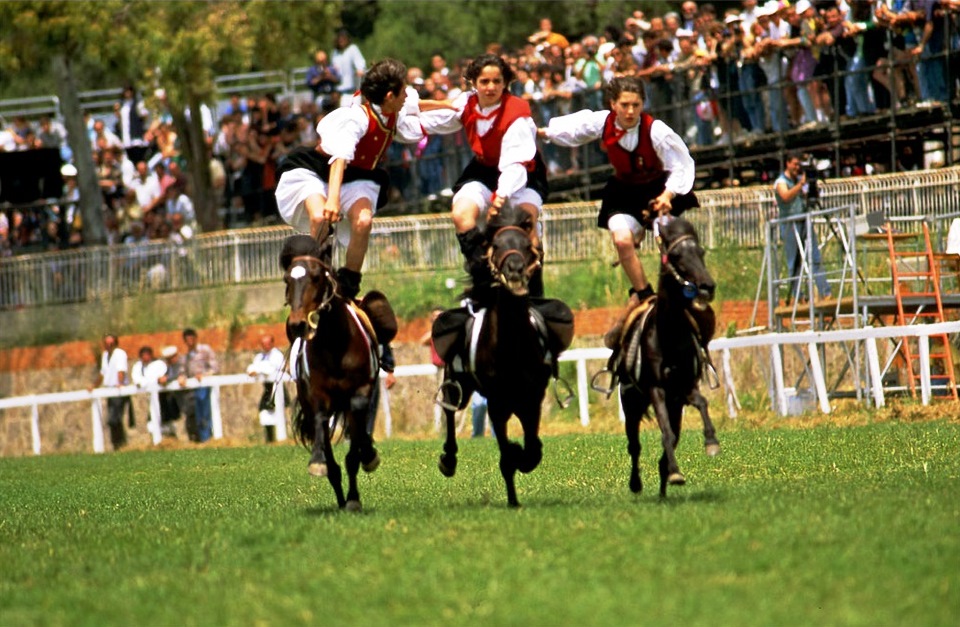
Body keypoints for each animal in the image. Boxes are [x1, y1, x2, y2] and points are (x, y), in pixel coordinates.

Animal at [284, 233, 392, 512]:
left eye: (316, 277)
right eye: (287, 279)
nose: (297, 324)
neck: (334, 342)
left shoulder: (360, 390)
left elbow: (355, 449)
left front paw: (354, 497)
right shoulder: (317, 395)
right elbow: (323, 434)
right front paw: (319, 463)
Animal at [432, 209, 572, 508]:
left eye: (527, 246)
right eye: (496, 245)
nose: (515, 270)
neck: (512, 346)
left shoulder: (532, 399)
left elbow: (532, 450)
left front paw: (522, 454)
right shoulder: (497, 402)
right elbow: (507, 456)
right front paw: (513, 499)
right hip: (456, 381)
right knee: (450, 409)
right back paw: (448, 458)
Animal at [608, 218, 720, 498]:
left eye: (701, 252)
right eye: (677, 256)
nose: (707, 286)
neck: (669, 335)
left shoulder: (683, 389)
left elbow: (701, 404)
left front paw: (711, 441)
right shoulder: (656, 389)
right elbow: (665, 434)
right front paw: (675, 473)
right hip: (631, 402)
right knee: (634, 444)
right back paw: (637, 483)